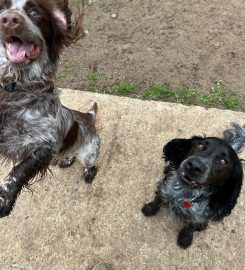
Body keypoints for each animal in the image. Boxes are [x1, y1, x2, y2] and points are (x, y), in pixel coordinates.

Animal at [0, 0, 99, 217]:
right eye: (1, 8)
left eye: (34, 12)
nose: (9, 19)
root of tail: (88, 117)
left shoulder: (46, 145)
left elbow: (18, 170)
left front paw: (3, 197)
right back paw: (67, 160)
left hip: (90, 153)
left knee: (92, 165)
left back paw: (89, 174)